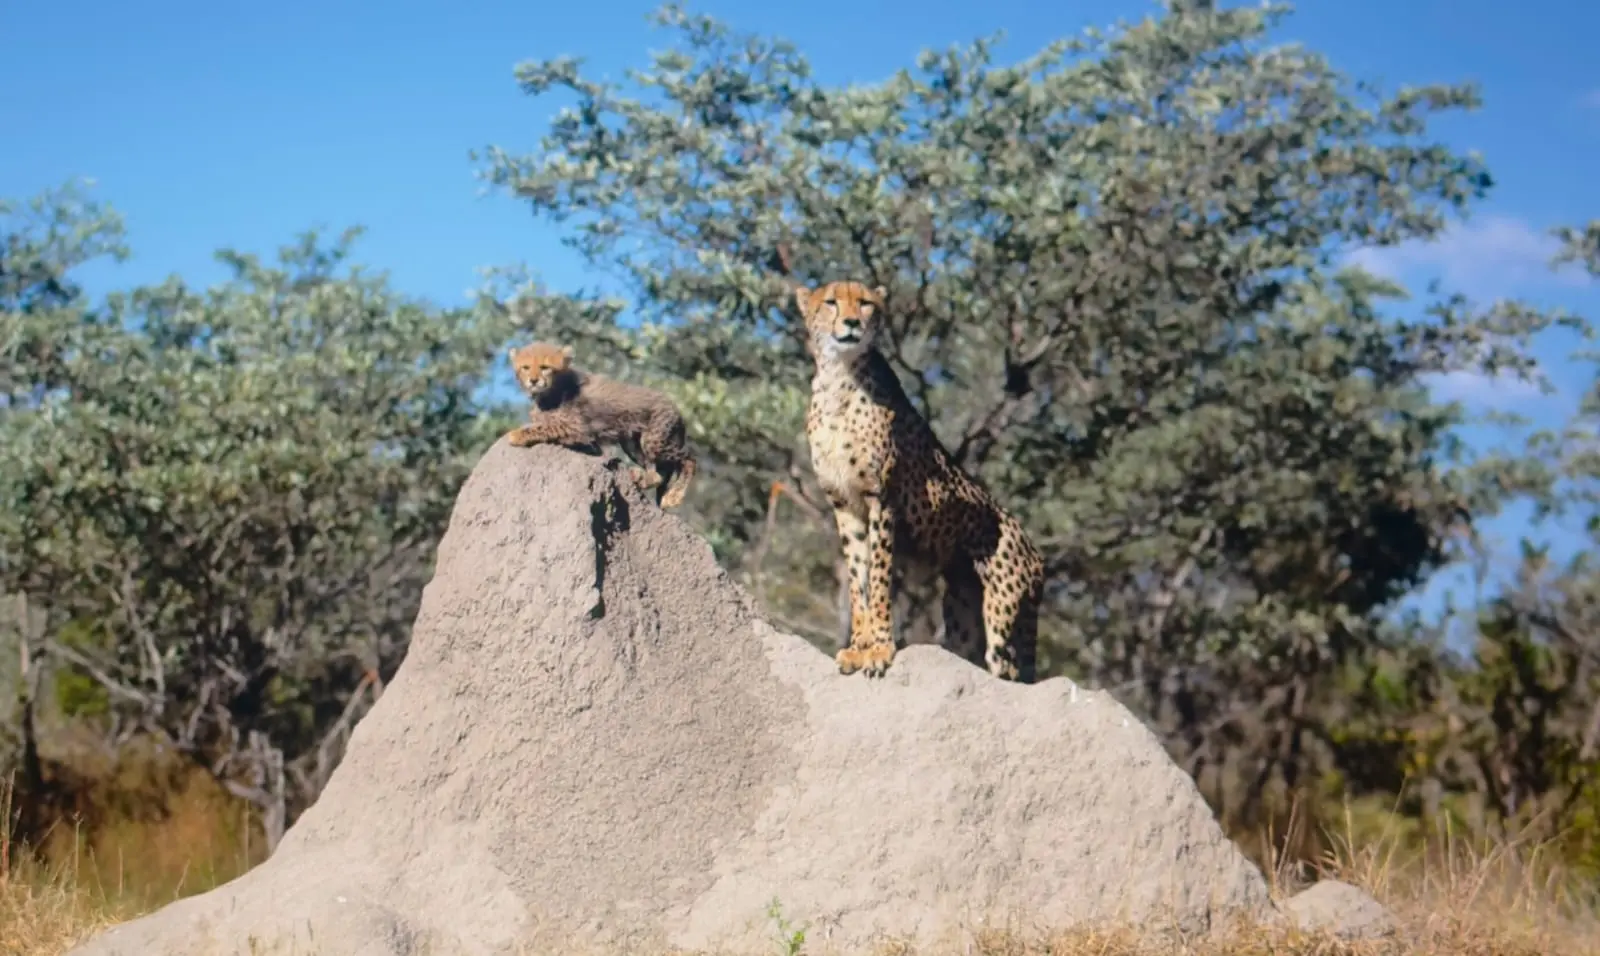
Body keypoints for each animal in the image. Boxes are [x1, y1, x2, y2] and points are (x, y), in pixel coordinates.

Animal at [504, 341, 697, 509]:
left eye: (545, 367)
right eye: (525, 368)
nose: (533, 381)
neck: (552, 390)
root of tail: (675, 407)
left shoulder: (576, 428)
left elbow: (543, 428)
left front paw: (516, 435)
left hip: (654, 440)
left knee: (689, 459)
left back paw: (673, 497)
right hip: (632, 444)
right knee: (659, 474)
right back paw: (640, 479)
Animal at [794, 280, 1045, 683]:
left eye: (865, 303)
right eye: (831, 302)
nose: (851, 323)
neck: (838, 378)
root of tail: (1036, 552)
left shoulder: (881, 499)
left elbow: (879, 577)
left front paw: (880, 649)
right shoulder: (845, 505)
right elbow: (858, 580)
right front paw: (859, 647)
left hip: (1003, 617)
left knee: (1006, 670)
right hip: (962, 613)